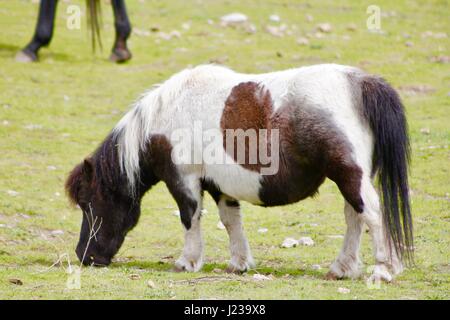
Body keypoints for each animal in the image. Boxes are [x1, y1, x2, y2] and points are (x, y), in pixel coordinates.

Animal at [65, 63, 414, 282]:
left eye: (88, 203)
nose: (85, 256)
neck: (169, 115)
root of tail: (360, 82)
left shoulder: (185, 182)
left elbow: (190, 219)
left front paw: (187, 262)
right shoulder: (218, 186)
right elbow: (231, 222)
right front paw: (239, 264)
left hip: (349, 174)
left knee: (372, 215)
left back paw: (383, 270)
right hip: (348, 179)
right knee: (355, 218)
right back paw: (342, 269)